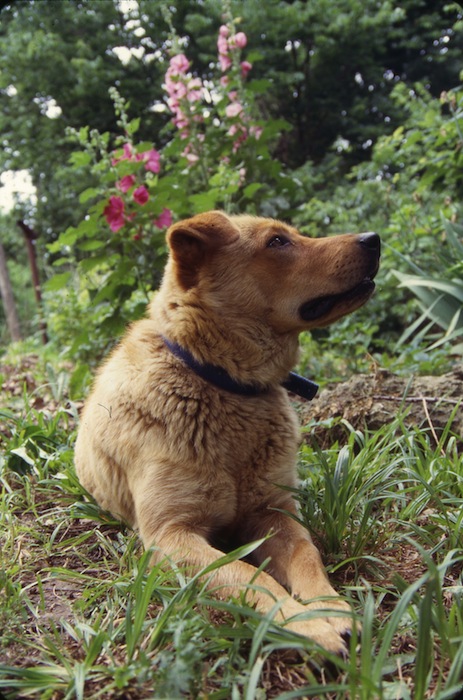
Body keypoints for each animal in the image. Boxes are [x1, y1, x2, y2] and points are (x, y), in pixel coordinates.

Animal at [75, 211, 380, 655]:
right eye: (277, 242)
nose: (374, 238)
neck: (217, 380)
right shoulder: (171, 535)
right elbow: (249, 575)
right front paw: (307, 625)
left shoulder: (273, 511)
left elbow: (307, 555)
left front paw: (331, 608)